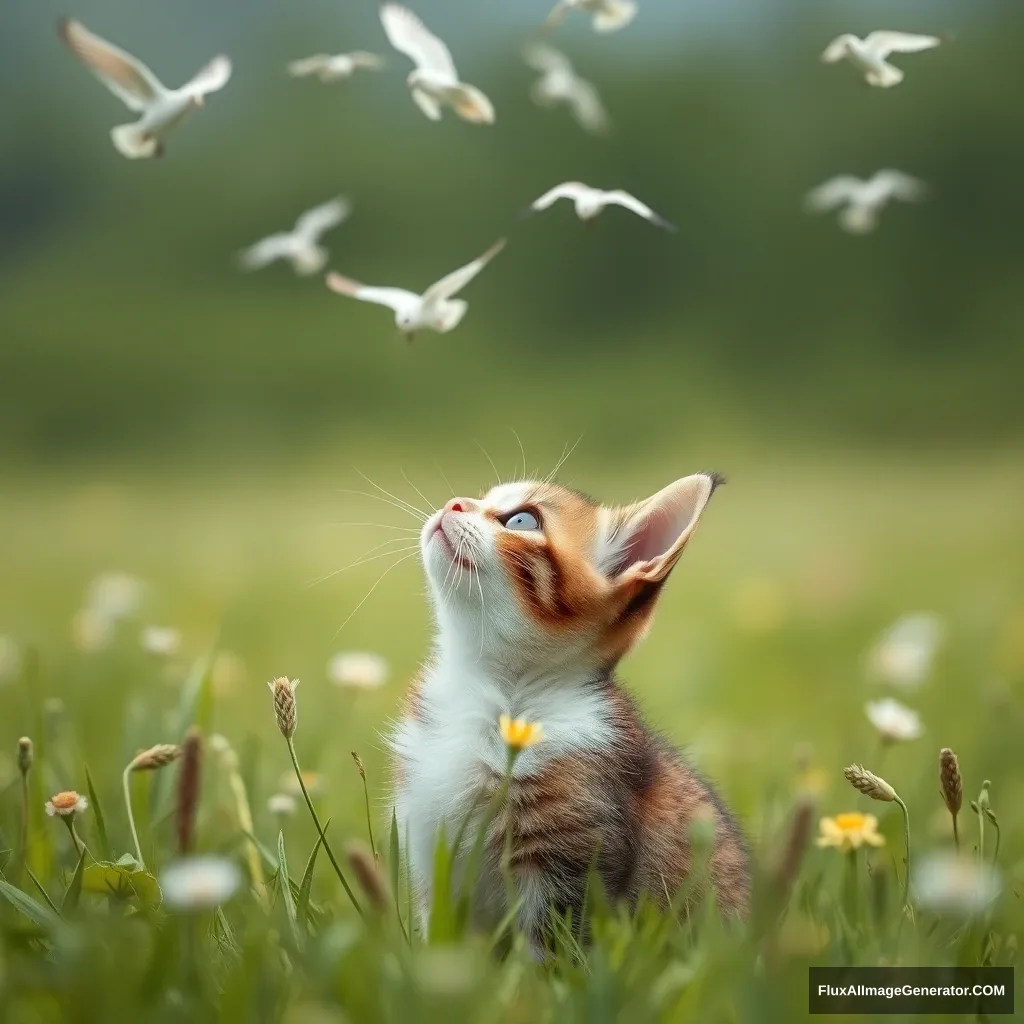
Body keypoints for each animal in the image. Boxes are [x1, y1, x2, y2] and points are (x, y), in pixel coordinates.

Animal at [391, 468, 753, 946]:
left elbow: (550, 951)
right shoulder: (431, 848)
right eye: (481, 498)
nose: (455, 503)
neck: (494, 691)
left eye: (522, 520)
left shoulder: (573, 860)